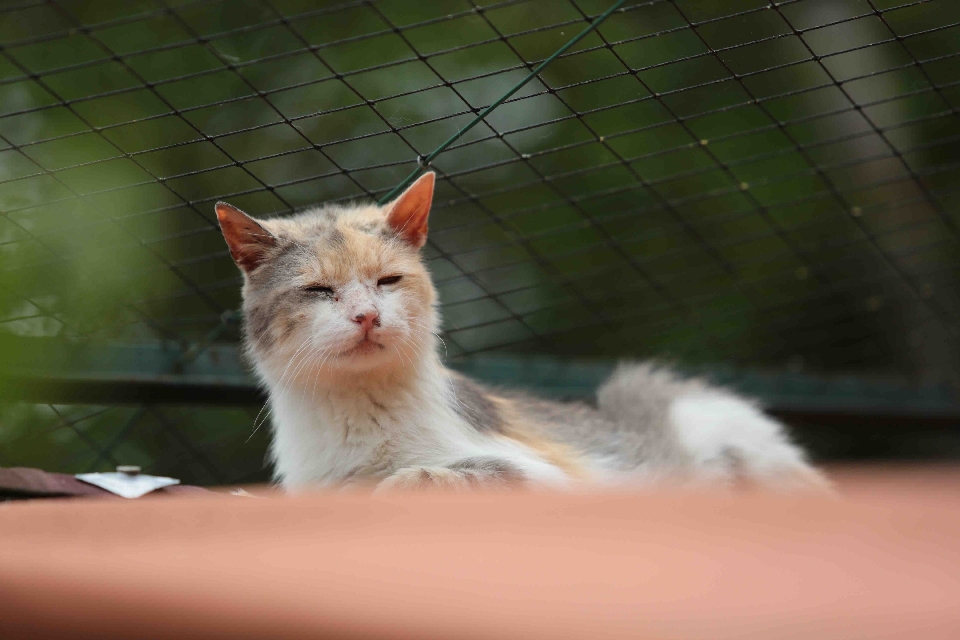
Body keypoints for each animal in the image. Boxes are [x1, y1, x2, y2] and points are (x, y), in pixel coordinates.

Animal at [216, 172, 824, 492]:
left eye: (388, 281)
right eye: (320, 291)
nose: (367, 315)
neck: (356, 412)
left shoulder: (551, 477)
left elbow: (448, 471)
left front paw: (401, 480)